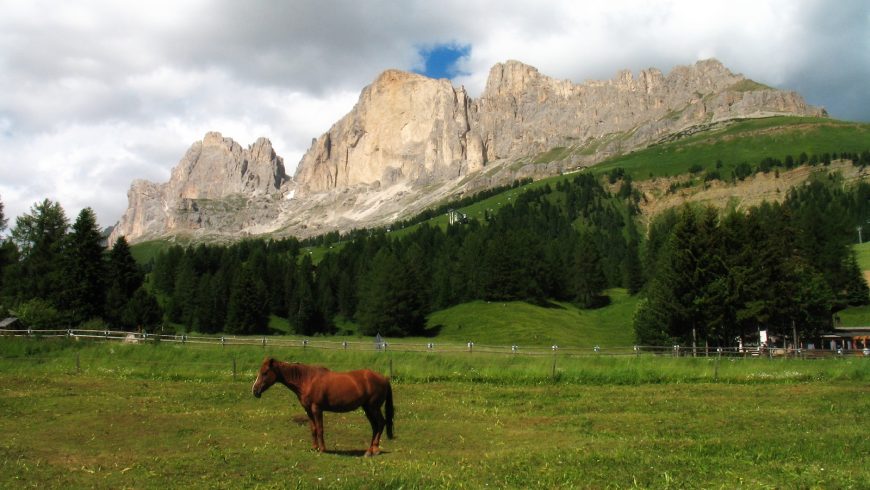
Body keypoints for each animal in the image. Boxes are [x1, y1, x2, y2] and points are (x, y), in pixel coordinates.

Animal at [250, 356, 396, 456]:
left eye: (265, 372)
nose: (255, 390)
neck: (307, 380)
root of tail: (384, 378)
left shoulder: (317, 409)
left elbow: (320, 429)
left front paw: (322, 449)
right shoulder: (308, 410)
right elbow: (313, 429)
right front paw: (314, 447)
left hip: (373, 408)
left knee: (380, 423)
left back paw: (375, 450)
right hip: (367, 409)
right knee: (375, 426)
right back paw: (369, 451)